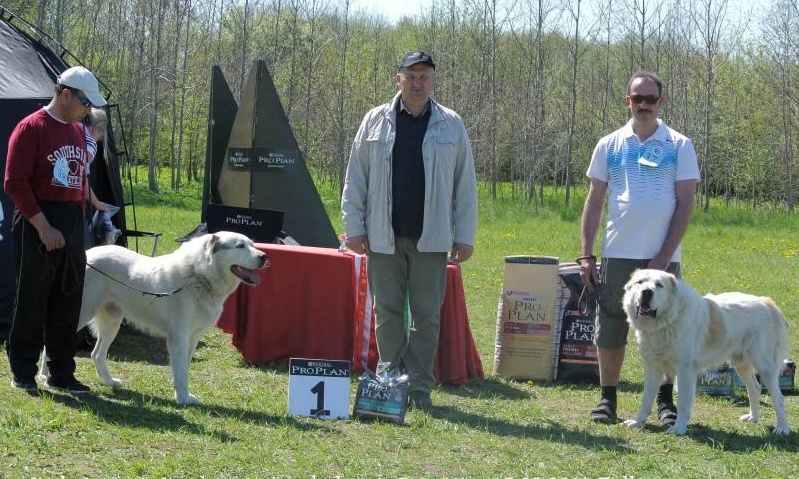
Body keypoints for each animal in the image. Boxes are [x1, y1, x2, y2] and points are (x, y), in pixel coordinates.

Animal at [41, 231, 268, 404]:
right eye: (240, 246)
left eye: (252, 244)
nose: (264, 256)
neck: (198, 276)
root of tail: (88, 254)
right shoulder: (178, 338)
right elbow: (180, 371)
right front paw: (183, 399)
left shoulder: (192, 338)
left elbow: (184, 369)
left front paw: (183, 395)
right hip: (79, 314)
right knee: (49, 343)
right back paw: (45, 376)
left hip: (112, 322)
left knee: (97, 354)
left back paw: (109, 382)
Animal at [622, 269, 791, 435]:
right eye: (640, 282)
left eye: (659, 285)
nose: (646, 292)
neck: (668, 320)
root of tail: (766, 302)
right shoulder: (653, 368)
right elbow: (646, 399)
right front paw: (638, 422)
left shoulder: (685, 370)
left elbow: (683, 402)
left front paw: (679, 428)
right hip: (741, 364)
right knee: (755, 388)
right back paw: (753, 417)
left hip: (764, 366)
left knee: (779, 398)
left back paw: (782, 428)